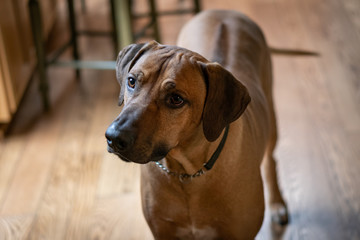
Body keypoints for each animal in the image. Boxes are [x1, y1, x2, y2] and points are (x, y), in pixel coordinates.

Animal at [105, 9, 288, 240]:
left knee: (271, 159)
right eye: (131, 81)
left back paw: (277, 203)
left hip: (271, 114)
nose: (114, 137)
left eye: (176, 99)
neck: (185, 173)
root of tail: (224, 11)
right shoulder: (162, 230)